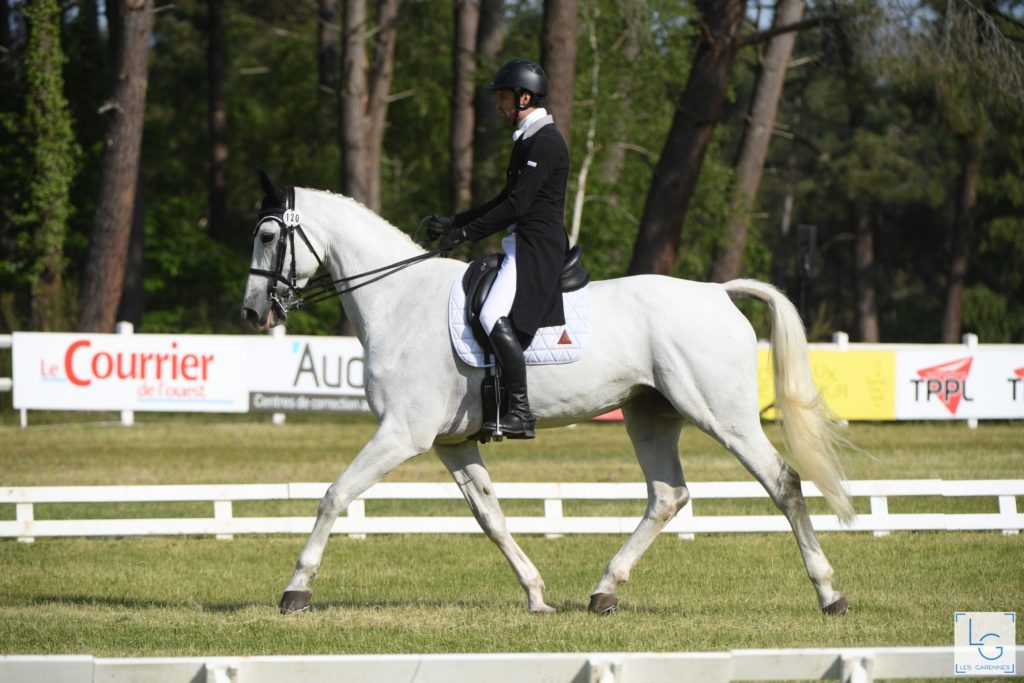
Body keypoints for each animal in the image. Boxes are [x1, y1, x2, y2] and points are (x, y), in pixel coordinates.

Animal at [241, 175, 856, 614]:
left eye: (268, 237)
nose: (252, 314)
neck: (398, 299)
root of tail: (717, 293)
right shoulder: (450, 442)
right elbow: (490, 515)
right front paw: (536, 595)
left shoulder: (402, 434)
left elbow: (335, 495)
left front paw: (296, 589)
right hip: (650, 414)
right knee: (667, 495)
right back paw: (605, 590)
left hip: (722, 415)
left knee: (783, 482)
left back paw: (829, 594)